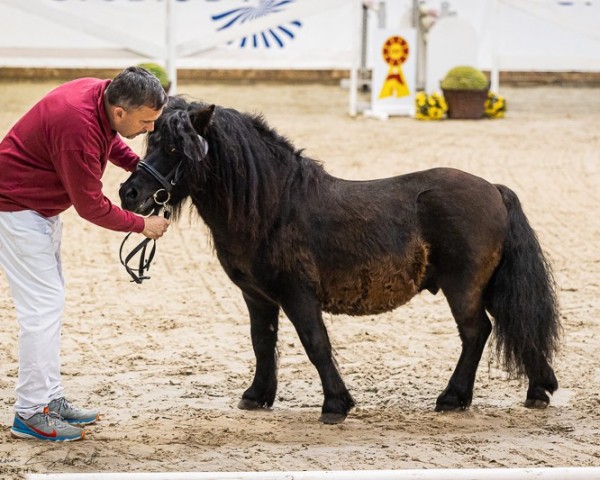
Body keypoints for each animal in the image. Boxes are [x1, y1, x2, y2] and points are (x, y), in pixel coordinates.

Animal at [119, 98, 560, 424]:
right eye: (150, 143)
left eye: (175, 148)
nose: (129, 193)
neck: (273, 207)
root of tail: (494, 189)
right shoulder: (257, 297)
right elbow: (262, 342)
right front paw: (257, 396)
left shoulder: (298, 296)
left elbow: (315, 343)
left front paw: (335, 404)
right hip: (487, 286)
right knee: (514, 323)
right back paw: (538, 389)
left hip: (463, 288)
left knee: (476, 332)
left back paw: (453, 398)